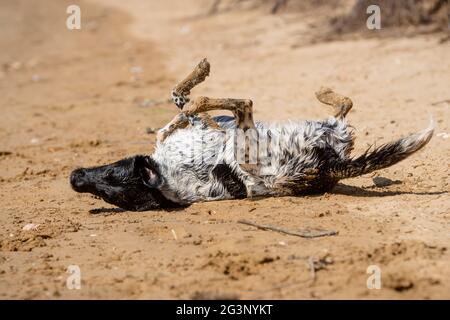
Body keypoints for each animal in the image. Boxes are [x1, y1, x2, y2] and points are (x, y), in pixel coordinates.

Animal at [69, 58, 432, 211]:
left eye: (111, 174)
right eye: (108, 194)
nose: (74, 178)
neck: (164, 176)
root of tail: (327, 168)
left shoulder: (185, 130)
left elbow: (177, 102)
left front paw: (196, 85)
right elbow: (185, 103)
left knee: (343, 105)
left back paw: (323, 92)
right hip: (251, 142)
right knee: (245, 104)